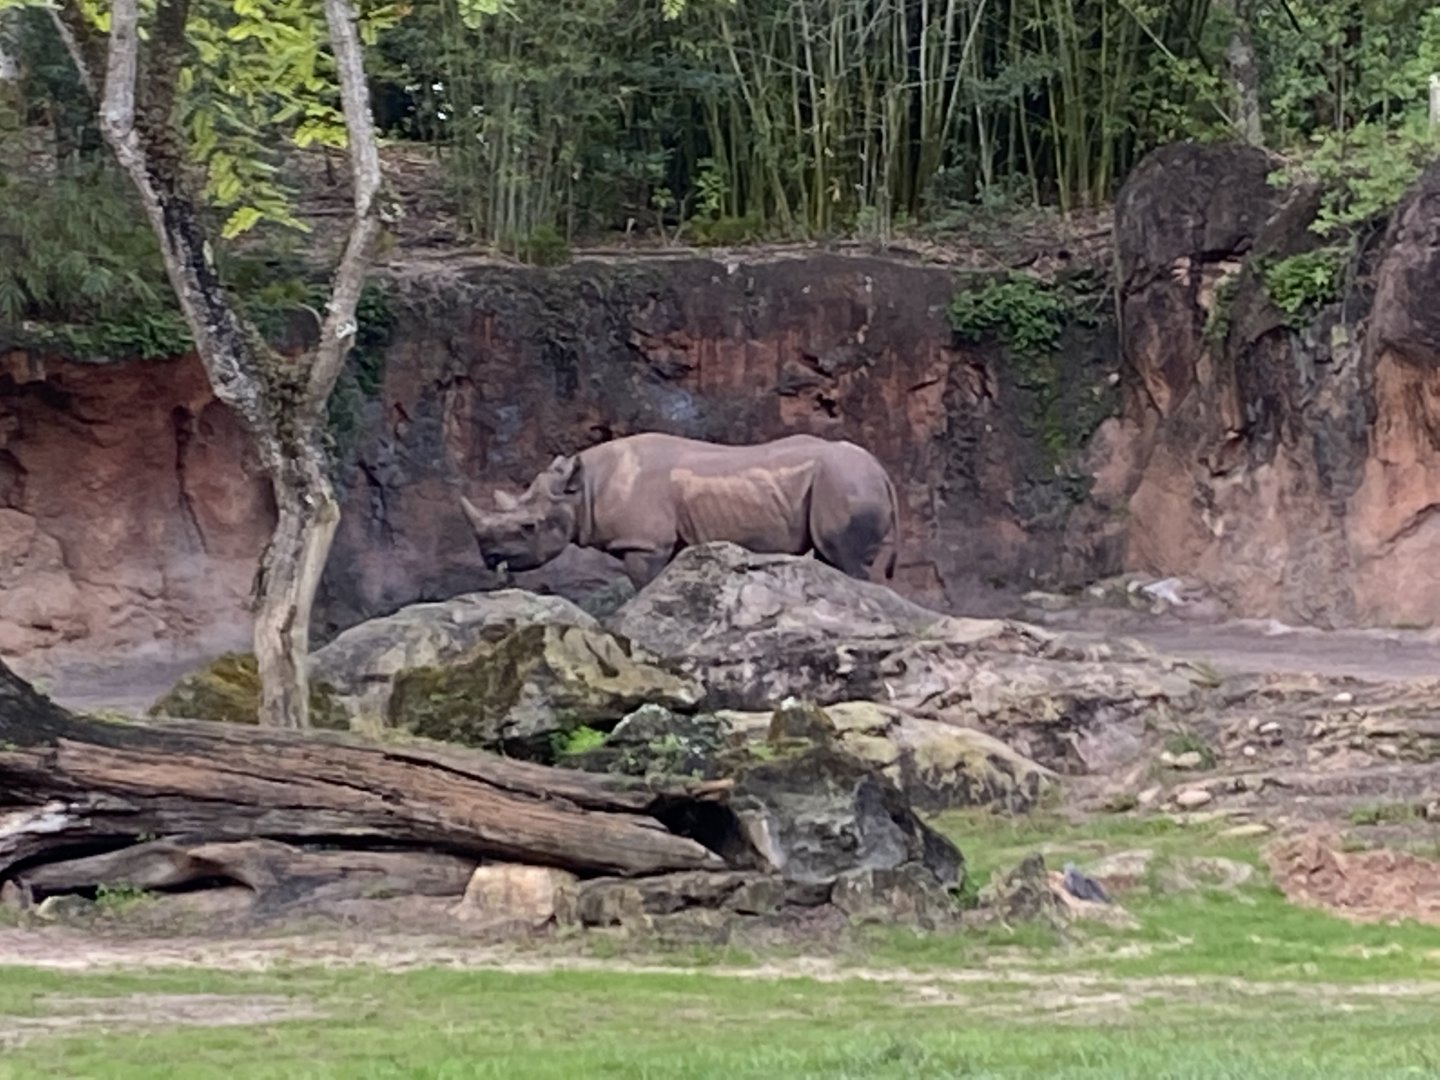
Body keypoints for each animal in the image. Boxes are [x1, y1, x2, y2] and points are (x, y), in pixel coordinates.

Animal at [459, 432, 901, 588]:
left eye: (529, 526)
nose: (489, 558)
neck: (582, 489)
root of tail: (882, 470)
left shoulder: (642, 543)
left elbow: (641, 588)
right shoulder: (665, 542)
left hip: (844, 483)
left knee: (846, 560)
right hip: (843, 482)